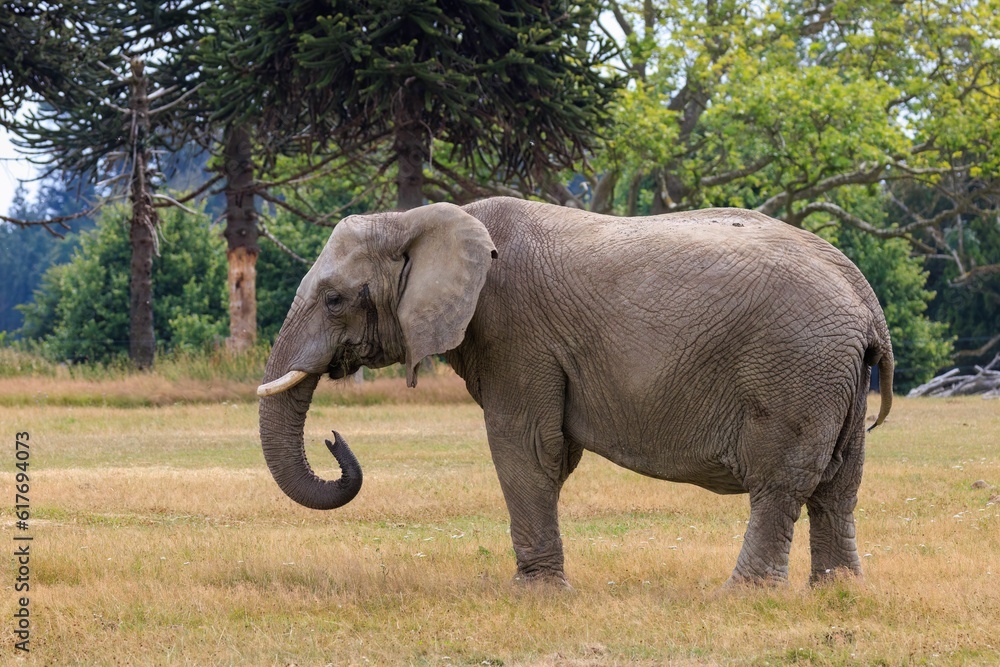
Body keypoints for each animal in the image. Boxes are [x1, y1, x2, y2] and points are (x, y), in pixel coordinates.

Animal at [257, 197, 893, 587]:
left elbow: (526, 449)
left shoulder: (517, 334)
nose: (334, 439)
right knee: (840, 484)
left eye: (334, 299)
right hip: (835, 378)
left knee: (780, 482)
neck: (419, 219)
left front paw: (534, 594)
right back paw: (838, 592)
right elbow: (549, 454)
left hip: (794, 370)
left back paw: (743, 595)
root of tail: (866, 303)